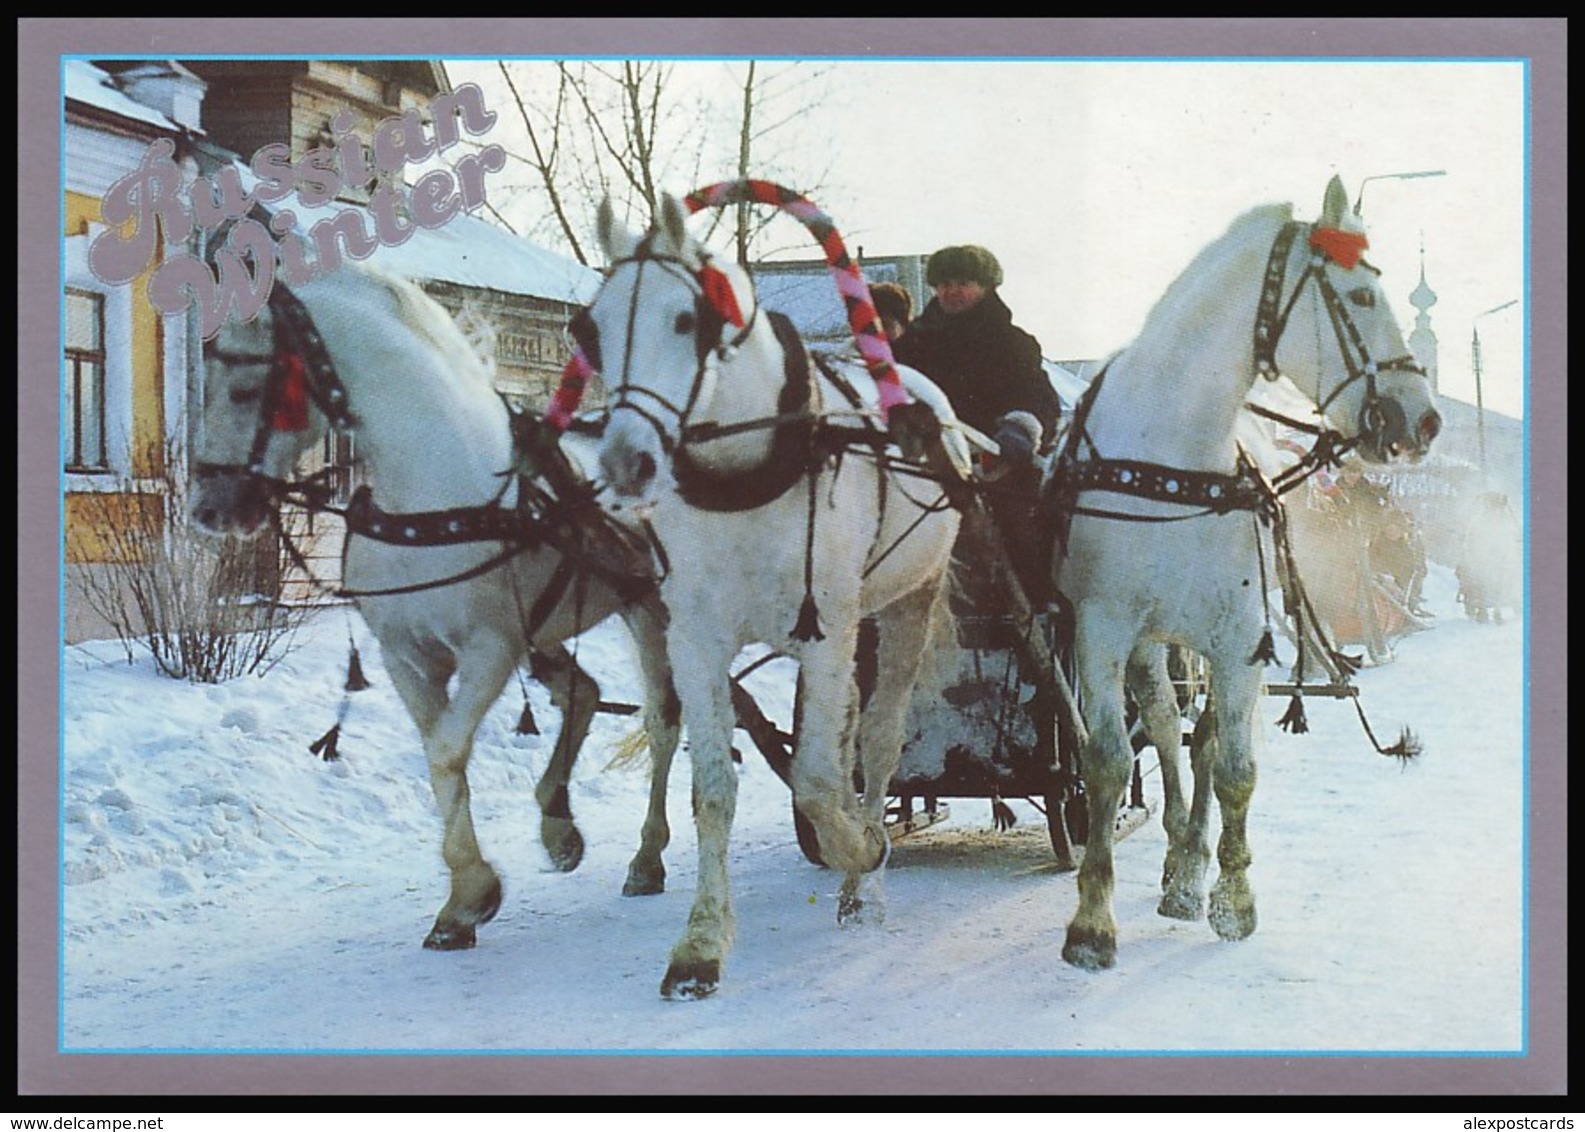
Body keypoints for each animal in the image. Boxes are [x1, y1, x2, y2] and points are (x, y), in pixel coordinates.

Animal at [187, 260, 681, 944]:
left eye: (242, 389)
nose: (207, 508)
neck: (428, 493)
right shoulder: (406, 657)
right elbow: (435, 756)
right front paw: (462, 899)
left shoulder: (490, 650)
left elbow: (449, 749)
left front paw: (473, 892)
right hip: (548, 631)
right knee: (582, 694)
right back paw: (558, 825)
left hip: (650, 612)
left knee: (662, 721)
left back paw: (647, 856)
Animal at [576, 194, 957, 995]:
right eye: (589, 330)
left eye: (686, 319)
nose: (626, 463)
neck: (747, 473)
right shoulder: (694, 639)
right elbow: (714, 787)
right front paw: (700, 944)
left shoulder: (824, 632)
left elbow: (814, 780)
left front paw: (861, 849)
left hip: (904, 601)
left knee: (879, 738)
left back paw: (864, 879)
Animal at [1058, 178, 1445, 970]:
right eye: (1361, 296)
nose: (1423, 422)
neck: (1172, 462)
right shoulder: (1103, 630)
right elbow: (1108, 760)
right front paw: (1092, 919)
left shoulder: (1238, 639)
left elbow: (1234, 766)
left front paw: (1232, 899)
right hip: (1153, 642)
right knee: (1165, 726)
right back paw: (1177, 859)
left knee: (1202, 737)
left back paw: (1190, 867)